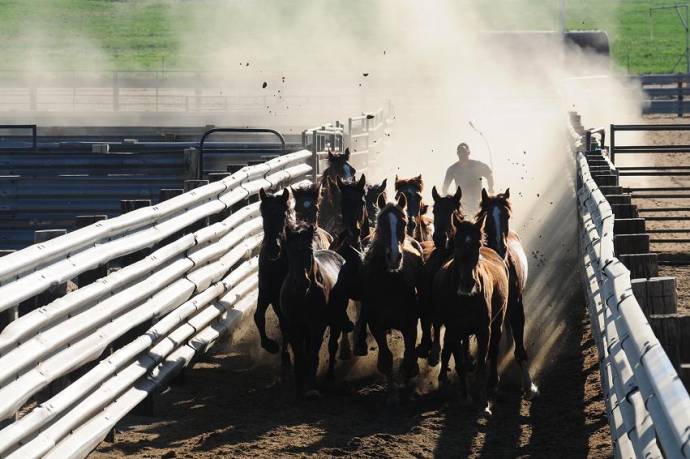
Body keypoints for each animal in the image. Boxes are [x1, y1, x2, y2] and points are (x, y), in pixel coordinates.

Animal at [278, 223, 344, 398]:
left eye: (309, 251)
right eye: (290, 251)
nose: (302, 283)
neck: (303, 296)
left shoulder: (317, 326)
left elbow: (313, 355)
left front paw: (311, 388)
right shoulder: (293, 326)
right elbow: (300, 356)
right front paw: (299, 387)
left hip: (335, 322)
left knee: (332, 345)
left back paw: (330, 375)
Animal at [358, 194, 422, 406]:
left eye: (403, 223)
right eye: (382, 224)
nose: (394, 257)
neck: (390, 285)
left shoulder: (410, 324)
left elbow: (409, 357)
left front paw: (407, 386)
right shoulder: (376, 325)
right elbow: (386, 359)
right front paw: (392, 395)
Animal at [432, 217, 508, 416]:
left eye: (477, 243)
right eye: (457, 242)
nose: (468, 283)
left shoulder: (484, 331)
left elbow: (482, 365)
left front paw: (483, 403)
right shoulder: (454, 330)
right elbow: (459, 364)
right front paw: (465, 398)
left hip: (497, 323)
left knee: (494, 349)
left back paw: (493, 383)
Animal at [472, 188, 536, 398]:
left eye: (506, 216)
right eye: (486, 216)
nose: (500, 246)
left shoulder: (516, 305)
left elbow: (519, 345)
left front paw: (529, 385)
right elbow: (492, 342)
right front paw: (492, 381)